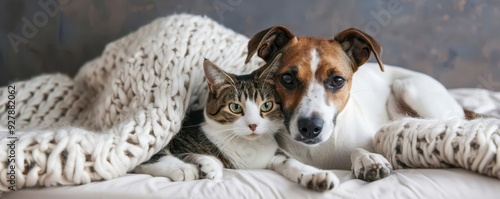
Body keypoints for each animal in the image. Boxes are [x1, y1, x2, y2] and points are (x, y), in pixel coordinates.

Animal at [132, 53, 340, 192]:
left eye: (266, 105)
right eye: (235, 107)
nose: (253, 125)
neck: (247, 145)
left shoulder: (271, 156)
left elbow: (289, 161)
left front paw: (316, 175)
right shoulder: (170, 138)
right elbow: (153, 155)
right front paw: (192, 166)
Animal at [245, 26, 464, 182]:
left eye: (337, 80)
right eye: (287, 78)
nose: (310, 127)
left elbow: (359, 149)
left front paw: (367, 158)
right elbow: (287, 162)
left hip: (409, 88)